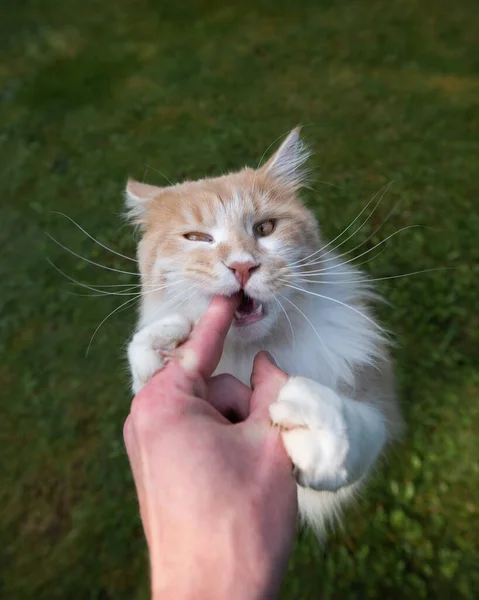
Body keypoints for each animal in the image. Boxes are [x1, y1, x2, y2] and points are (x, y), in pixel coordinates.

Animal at [125, 129, 404, 536]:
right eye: (197, 237)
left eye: (265, 228)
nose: (242, 266)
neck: (251, 351)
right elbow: (143, 363)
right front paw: (161, 344)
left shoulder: (378, 396)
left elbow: (364, 428)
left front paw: (318, 430)